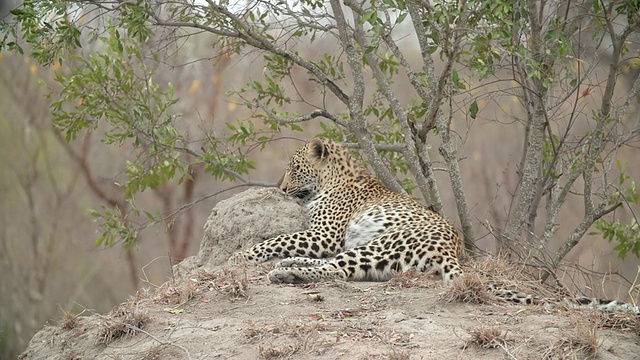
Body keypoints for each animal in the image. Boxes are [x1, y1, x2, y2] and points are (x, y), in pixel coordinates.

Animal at [230, 138, 640, 318]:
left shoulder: (325, 234)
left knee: (338, 269)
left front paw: (240, 255)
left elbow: (278, 238)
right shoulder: (323, 236)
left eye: (293, 168)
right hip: (377, 251)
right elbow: (284, 239)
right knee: (336, 266)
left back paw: (286, 273)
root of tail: (453, 252)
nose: (281, 188)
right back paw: (288, 267)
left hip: (385, 242)